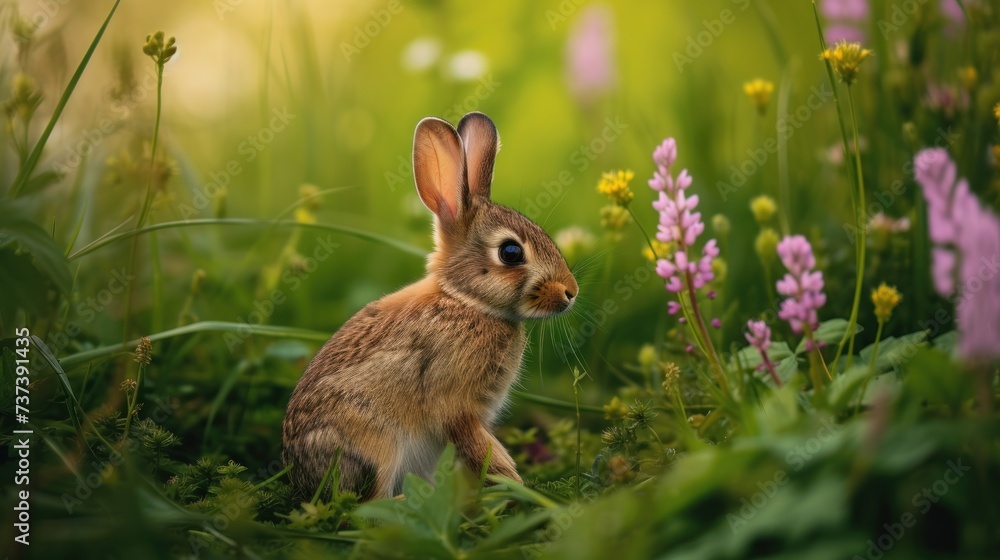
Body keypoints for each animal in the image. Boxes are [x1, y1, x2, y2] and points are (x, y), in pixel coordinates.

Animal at [281, 112, 579, 500]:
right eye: (511, 252)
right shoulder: (456, 406)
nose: (571, 292)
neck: (465, 301)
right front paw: (518, 486)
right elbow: (482, 448)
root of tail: (301, 479)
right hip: (376, 445)